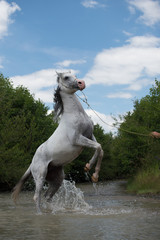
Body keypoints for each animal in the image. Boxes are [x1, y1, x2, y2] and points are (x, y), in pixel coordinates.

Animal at [11, 72, 103, 213]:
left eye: (74, 75)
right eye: (66, 77)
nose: (81, 83)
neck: (77, 114)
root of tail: (32, 163)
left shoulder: (90, 135)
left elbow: (100, 150)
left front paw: (94, 175)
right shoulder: (78, 139)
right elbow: (98, 147)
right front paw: (88, 167)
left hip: (56, 179)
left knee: (47, 196)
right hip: (40, 176)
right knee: (36, 197)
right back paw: (40, 214)